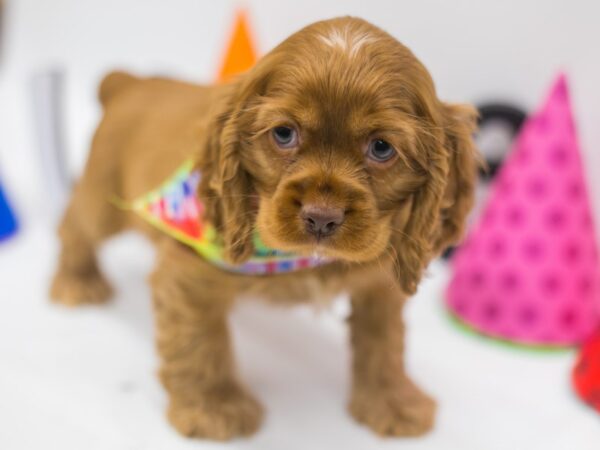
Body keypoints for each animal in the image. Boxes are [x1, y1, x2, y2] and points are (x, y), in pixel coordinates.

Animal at [49, 16, 480, 440]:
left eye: (381, 148)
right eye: (284, 133)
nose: (321, 217)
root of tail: (132, 81)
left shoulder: (380, 284)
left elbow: (385, 342)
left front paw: (391, 401)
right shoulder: (187, 276)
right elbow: (199, 343)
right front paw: (214, 408)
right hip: (103, 200)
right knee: (74, 224)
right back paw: (77, 282)